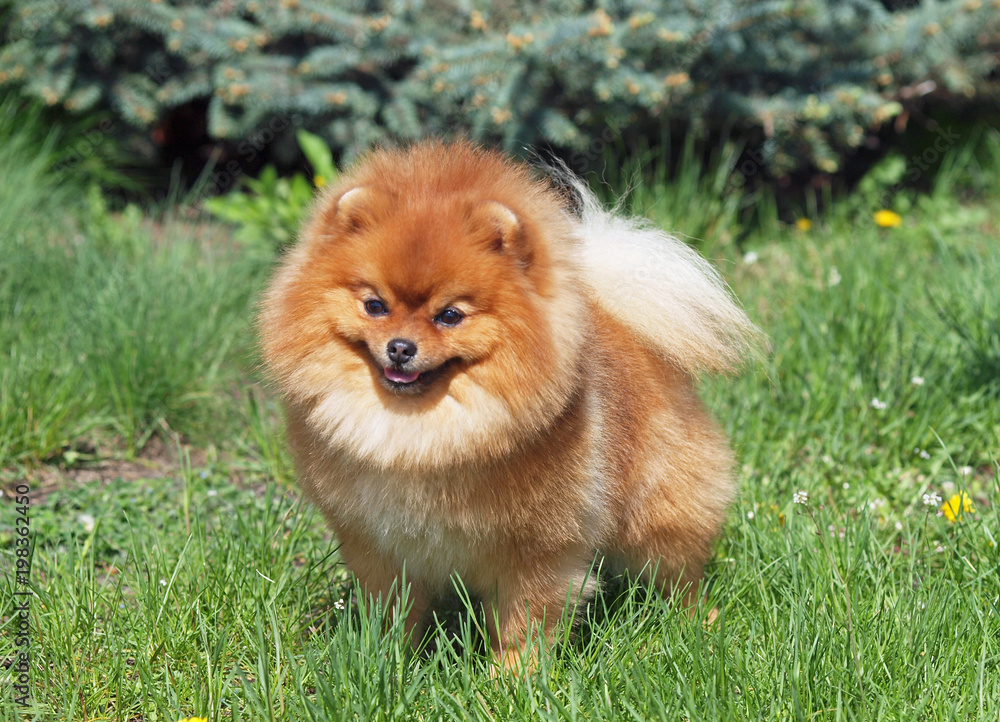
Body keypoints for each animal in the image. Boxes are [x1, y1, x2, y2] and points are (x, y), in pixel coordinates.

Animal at [258, 141, 756, 668]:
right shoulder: (378, 545)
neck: (419, 433)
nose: (400, 347)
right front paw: (384, 659)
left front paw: (514, 677)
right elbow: (392, 612)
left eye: (450, 315)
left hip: (660, 511)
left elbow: (524, 623)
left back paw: (698, 626)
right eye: (375, 306)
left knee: (679, 576)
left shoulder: (538, 551)